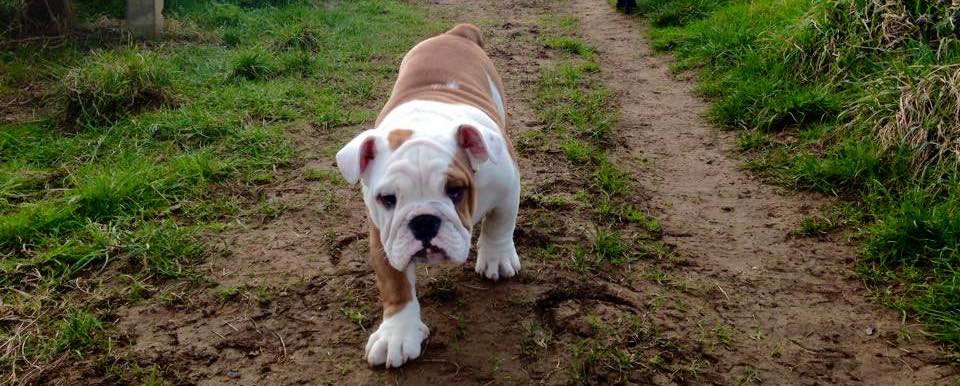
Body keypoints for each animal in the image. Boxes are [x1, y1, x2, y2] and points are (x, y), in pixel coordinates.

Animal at [336, 24, 520, 368]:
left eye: (455, 191)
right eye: (388, 199)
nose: (423, 222)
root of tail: (455, 34)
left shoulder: (507, 186)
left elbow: (499, 225)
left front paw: (497, 258)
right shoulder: (385, 234)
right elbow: (395, 283)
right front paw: (397, 333)